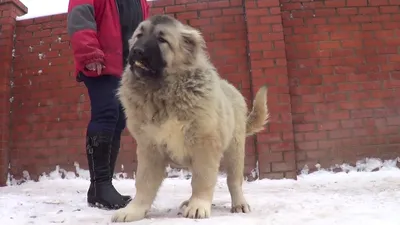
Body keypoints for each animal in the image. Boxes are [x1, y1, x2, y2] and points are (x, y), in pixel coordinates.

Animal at [111, 14, 270, 222]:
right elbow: (144, 183)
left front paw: (198, 206)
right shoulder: (149, 147)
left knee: (234, 181)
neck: (163, 93)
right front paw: (133, 210)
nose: (137, 51)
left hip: (235, 150)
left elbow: (203, 179)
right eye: (139, 35)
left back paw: (239, 204)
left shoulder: (205, 144)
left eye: (162, 39)